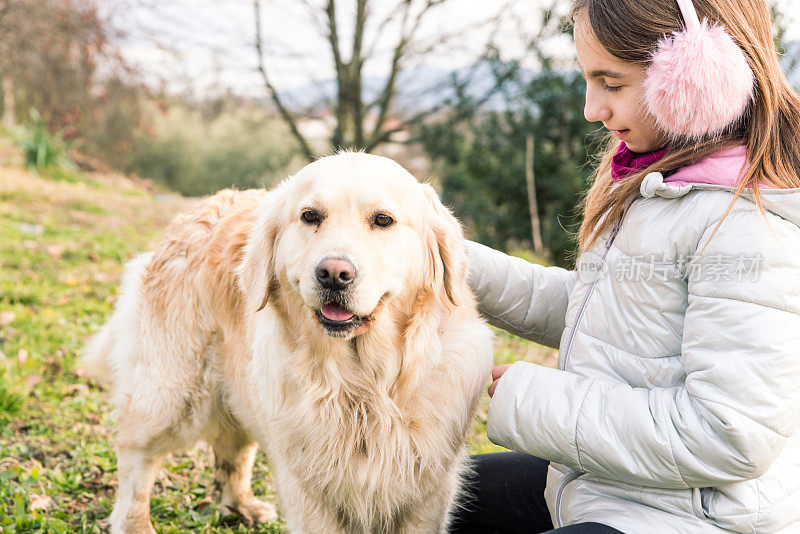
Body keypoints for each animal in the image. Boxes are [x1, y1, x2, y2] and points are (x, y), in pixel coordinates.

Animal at [83, 153, 494, 532]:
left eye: (383, 220)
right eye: (310, 216)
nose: (334, 274)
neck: (364, 386)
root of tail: (199, 208)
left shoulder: (427, 495)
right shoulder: (311, 491)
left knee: (232, 448)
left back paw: (241, 506)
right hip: (172, 390)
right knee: (136, 458)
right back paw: (135, 522)